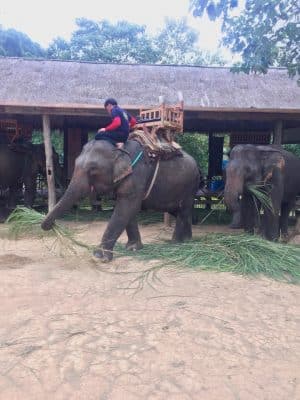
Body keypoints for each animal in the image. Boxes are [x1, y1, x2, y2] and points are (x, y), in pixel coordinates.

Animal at [41, 140, 200, 262]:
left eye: (93, 170)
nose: (52, 226)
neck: (120, 149)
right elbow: (129, 211)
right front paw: (133, 248)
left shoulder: (136, 175)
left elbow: (126, 208)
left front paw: (99, 256)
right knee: (180, 211)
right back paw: (188, 239)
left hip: (189, 186)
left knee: (183, 210)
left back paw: (176, 243)